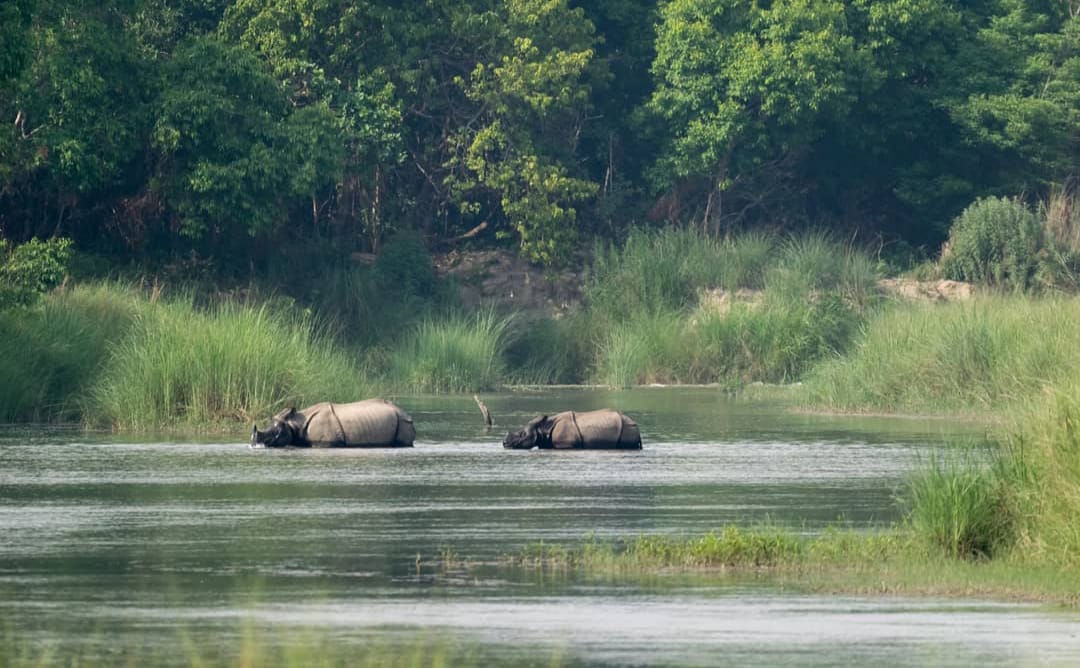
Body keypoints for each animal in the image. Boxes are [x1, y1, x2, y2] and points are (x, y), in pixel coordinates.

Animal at [251, 399, 415, 448]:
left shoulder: (325, 442)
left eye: (276, 434)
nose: (254, 444)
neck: (295, 422)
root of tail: (406, 413)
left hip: (403, 421)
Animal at [502, 409, 642, 450]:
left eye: (522, 434)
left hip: (627, 429)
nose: (504, 443)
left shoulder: (565, 444)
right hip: (628, 428)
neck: (542, 428)